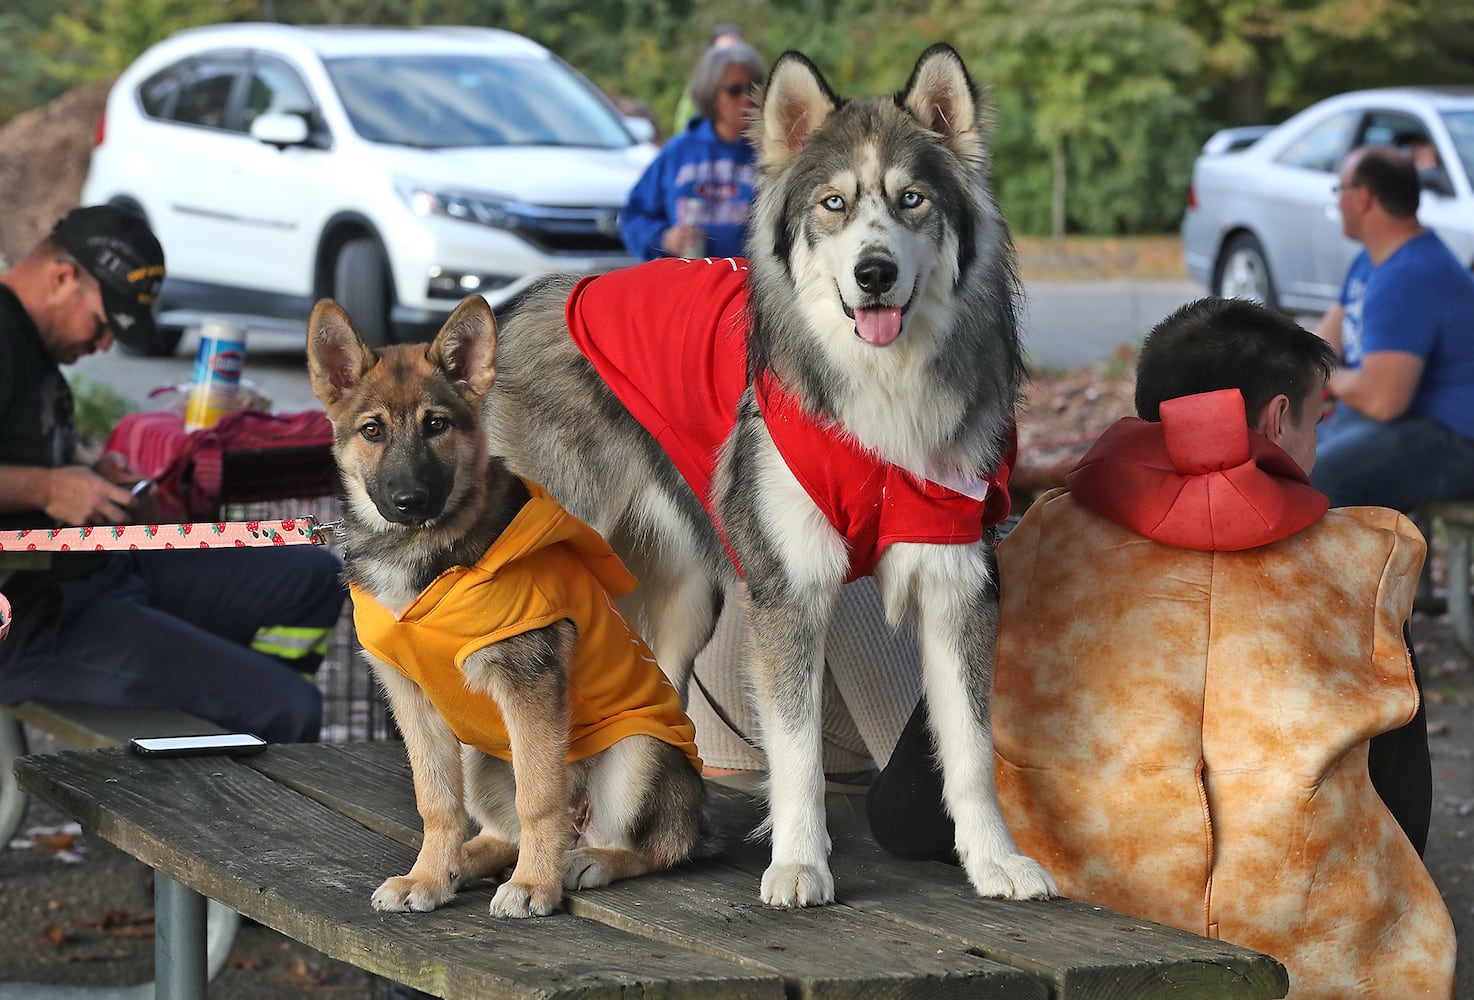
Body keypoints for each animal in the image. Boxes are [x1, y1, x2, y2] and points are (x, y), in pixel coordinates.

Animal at [303, 299, 701, 926]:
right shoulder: (413, 700)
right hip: (478, 752)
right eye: (372, 430)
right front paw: (428, 876)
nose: (408, 503)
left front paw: (535, 885)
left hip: (638, 752)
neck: (424, 558)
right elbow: (436, 802)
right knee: (503, 833)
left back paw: (583, 861)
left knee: (653, 846)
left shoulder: (528, 687)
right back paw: (462, 862)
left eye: (436, 425)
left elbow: (539, 799)